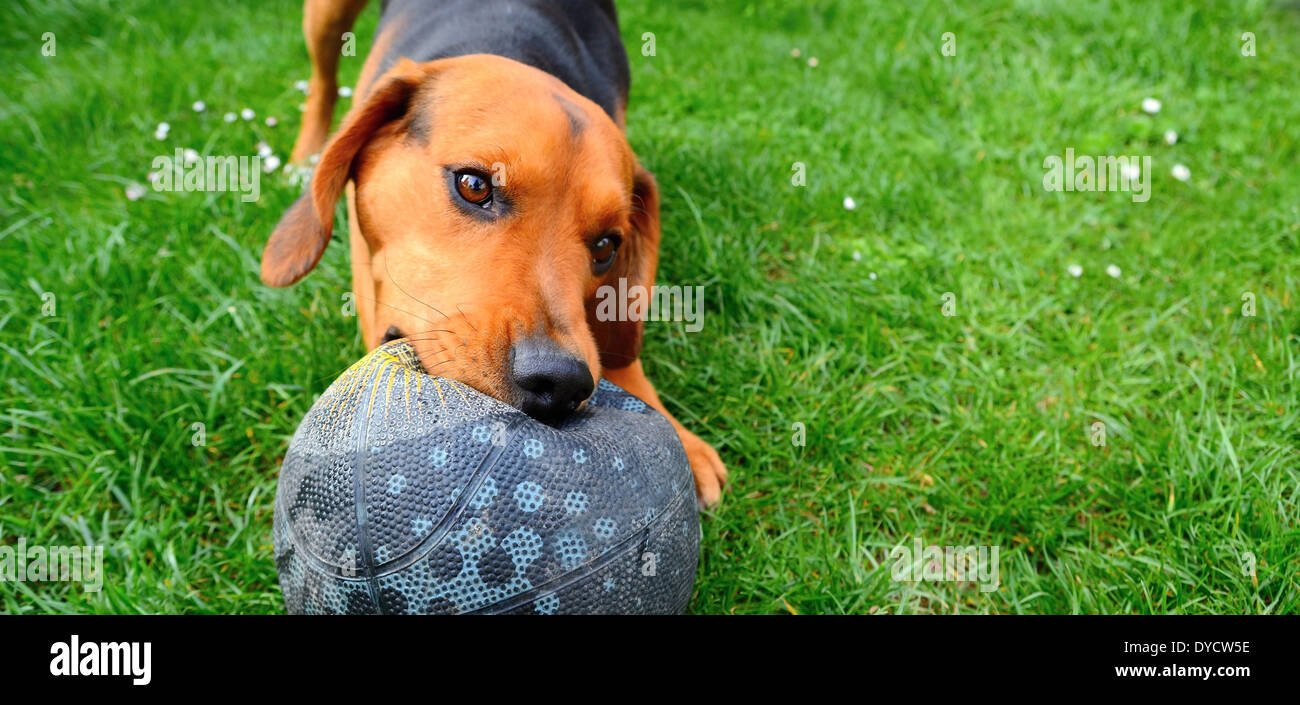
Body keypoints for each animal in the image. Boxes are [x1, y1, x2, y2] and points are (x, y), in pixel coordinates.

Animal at [261, 0, 733, 509]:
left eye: (607, 246)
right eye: (474, 184)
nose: (561, 383)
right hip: (326, 19)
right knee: (323, 82)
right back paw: (304, 156)